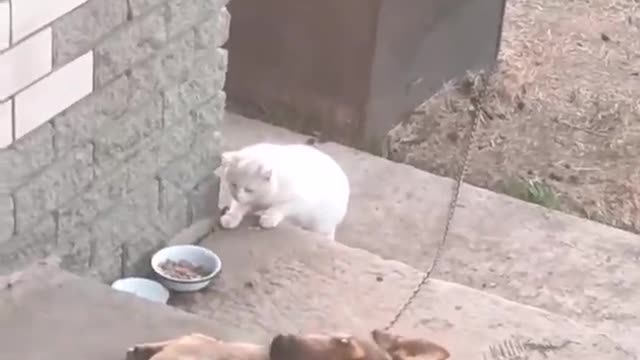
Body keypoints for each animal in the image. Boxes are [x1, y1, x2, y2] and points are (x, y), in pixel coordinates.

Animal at [214, 142, 350, 240]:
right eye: (233, 184)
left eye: (249, 189)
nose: (236, 195)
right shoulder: (250, 201)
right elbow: (238, 207)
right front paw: (231, 217)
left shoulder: (301, 201)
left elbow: (280, 207)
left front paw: (269, 218)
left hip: (322, 221)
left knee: (326, 232)